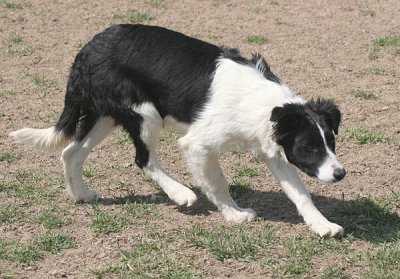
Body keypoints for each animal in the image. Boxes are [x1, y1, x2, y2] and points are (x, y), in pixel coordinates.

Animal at [10, 24, 346, 238]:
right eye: (309, 148)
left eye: (330, 142)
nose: (340, 173)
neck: (262, 102)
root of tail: (87, 51)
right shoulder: (198, 144)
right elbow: (218, 183)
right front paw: (233, 214)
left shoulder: (274, 150)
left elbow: (301, 193)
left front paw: (322, 225)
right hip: (145, 113)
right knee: (144, 160)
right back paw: (180, 193)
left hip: (104, 116)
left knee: (71, 152)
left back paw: (80, 194)